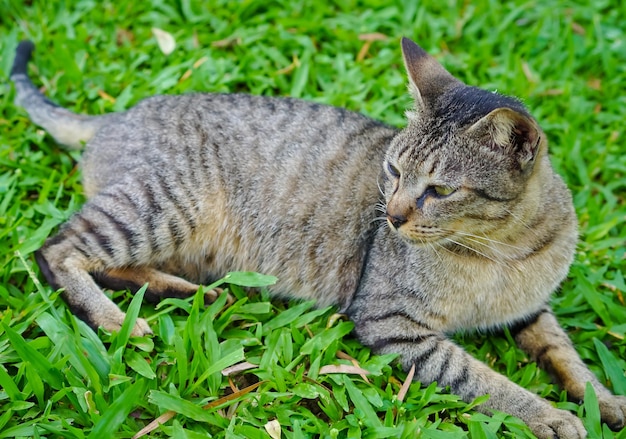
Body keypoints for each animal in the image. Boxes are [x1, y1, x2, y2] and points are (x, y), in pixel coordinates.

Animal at [9, 38, 624, 439]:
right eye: (393, 171)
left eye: (441, 190)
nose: (392, 217)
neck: (502, 252)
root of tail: (114, 117)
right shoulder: (391, 323)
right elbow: (484, 379)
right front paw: (549, 415)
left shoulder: (532, 310)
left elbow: (567, 356)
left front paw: (606, 401)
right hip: (164, 205)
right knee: (58, 250)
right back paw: (118, 319)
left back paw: (186, 291)